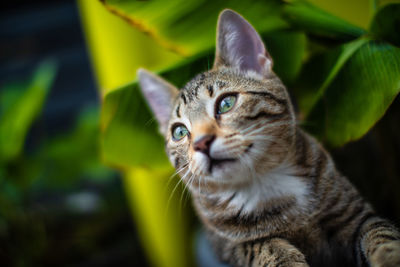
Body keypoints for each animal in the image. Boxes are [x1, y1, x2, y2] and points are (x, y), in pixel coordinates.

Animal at [138, 8, 400, 267]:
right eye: (180, 132)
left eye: (226, 103)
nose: (201, 142)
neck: (264, 183)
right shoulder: (229, 245)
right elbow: (265, 247)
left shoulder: (357, 213)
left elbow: (382, 233)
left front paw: (388, 256)